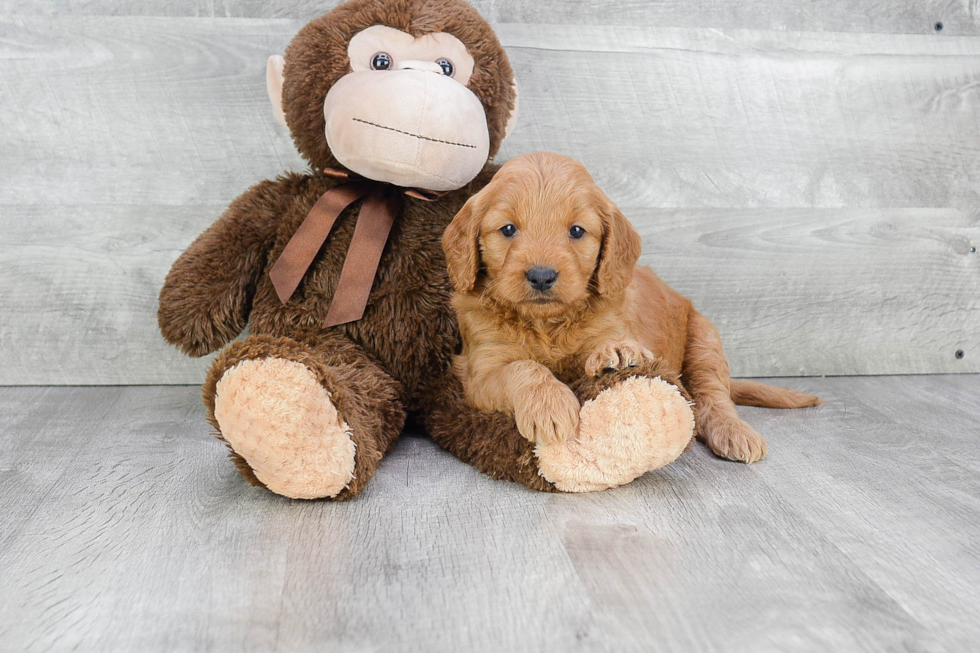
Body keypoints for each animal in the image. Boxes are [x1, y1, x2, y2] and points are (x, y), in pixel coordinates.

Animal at [444, 151, 820, 460]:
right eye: (507, 229)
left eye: (576, 231)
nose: (541, 276)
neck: (547, 323)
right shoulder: (479, 372)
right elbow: (523, 368)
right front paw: (550, 405)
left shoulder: (612, 325)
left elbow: (607, 346)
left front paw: (616, 353)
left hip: (704, 339)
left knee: (713, 397)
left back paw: (734, 432)